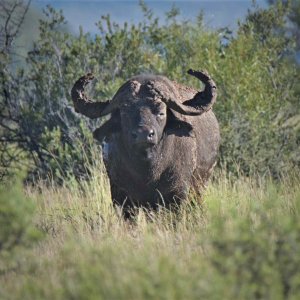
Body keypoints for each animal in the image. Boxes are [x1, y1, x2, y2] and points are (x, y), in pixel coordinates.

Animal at [71, 69, 219, 216]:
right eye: (124, 112)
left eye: (161, 112)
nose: (143, 134)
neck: (147, 170)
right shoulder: (120, 196)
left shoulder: (177, 193)